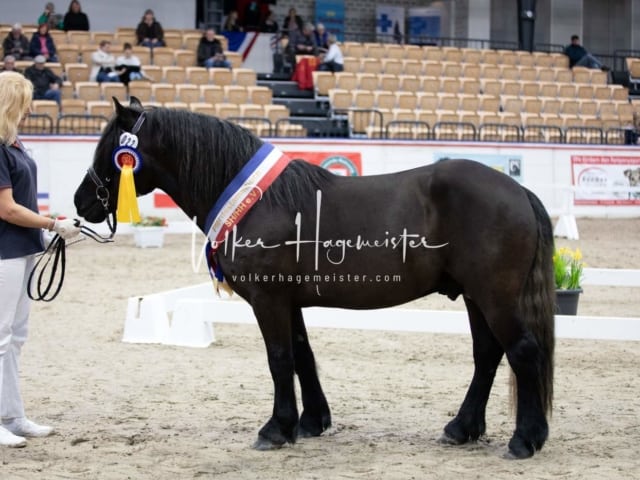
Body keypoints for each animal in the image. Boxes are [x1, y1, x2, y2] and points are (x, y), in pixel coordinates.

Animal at [74, 98, 556, 462]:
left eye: (110, 150)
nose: (82, 201)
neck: (259, 201)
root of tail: (518, 190)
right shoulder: (290, 301)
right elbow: (303, 355)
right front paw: (310, 422)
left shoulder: (268, 299)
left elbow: (279, 359)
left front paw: (275, 429)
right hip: (475, 296)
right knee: (488, 355)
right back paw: (462, 428)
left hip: (494, 295)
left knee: (522, 351)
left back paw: (524, 440)